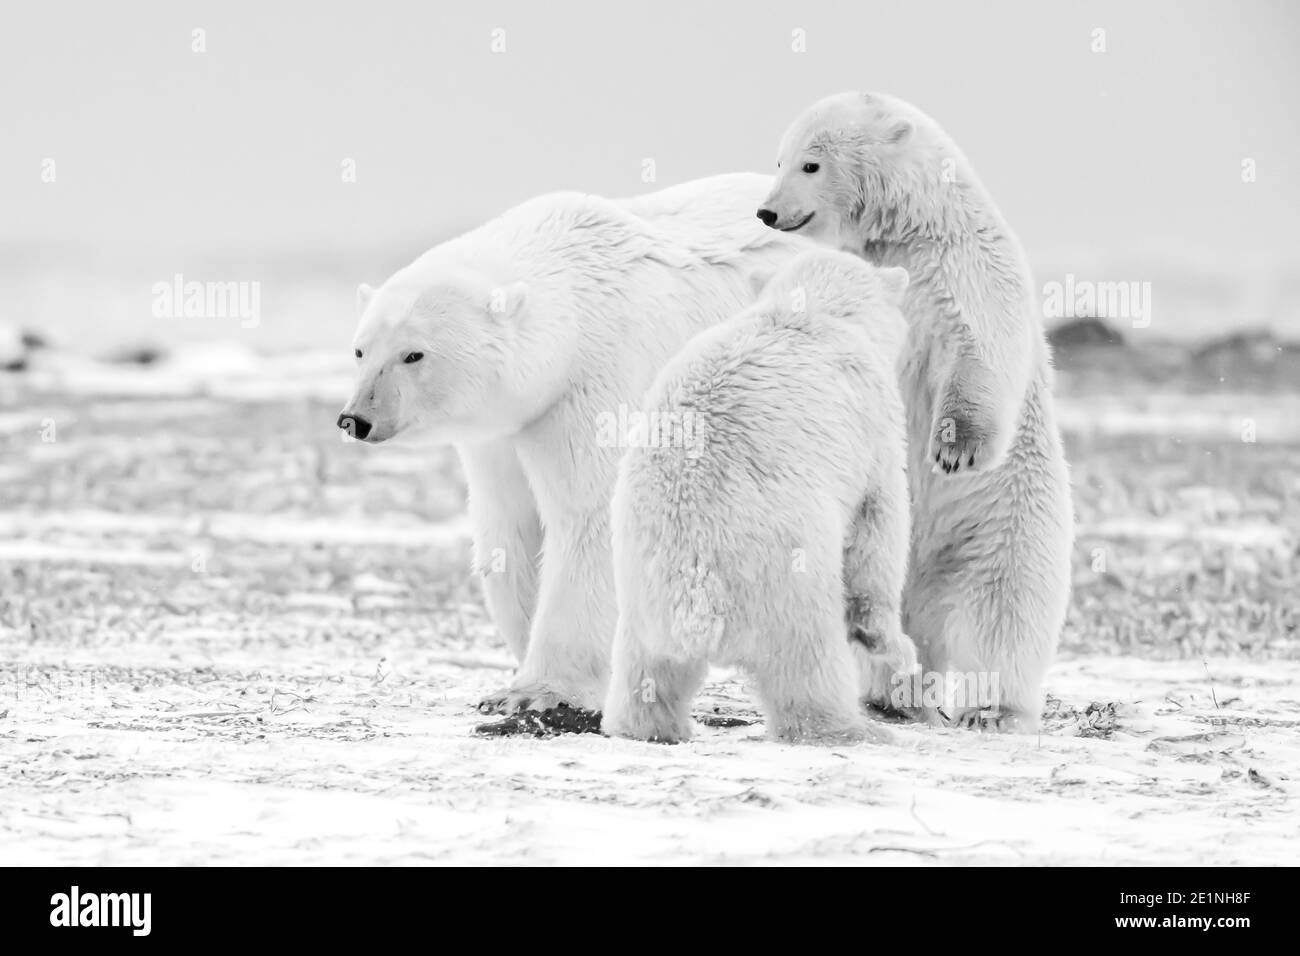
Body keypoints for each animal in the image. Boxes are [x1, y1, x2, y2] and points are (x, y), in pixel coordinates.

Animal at [335, 175, 800, 723]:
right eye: (360, 349)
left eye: (414, 354)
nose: (356, 419)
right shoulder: (505, 427)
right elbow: (508, 526)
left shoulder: (599, 382)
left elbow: (589, 518)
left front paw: (539, 692)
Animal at [603, 251, 920, 743]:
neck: (809, 313)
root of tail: (694, 592)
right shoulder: (873, 420)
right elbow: (878, 523)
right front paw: (892, 645)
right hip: (783, 569)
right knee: (808, 659)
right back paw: (852, 728)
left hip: (640, 586)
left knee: (647, 668)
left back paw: (648, 726)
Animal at [754, 91, 1076, 733]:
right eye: (779, 159)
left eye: (810, 164)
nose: (767, 212)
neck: (909, 228)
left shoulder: (965, 266)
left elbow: (980, 345)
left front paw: (954, 448)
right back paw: (894, 695)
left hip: (1007, 521)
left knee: (1002, 613)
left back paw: (992, 708)